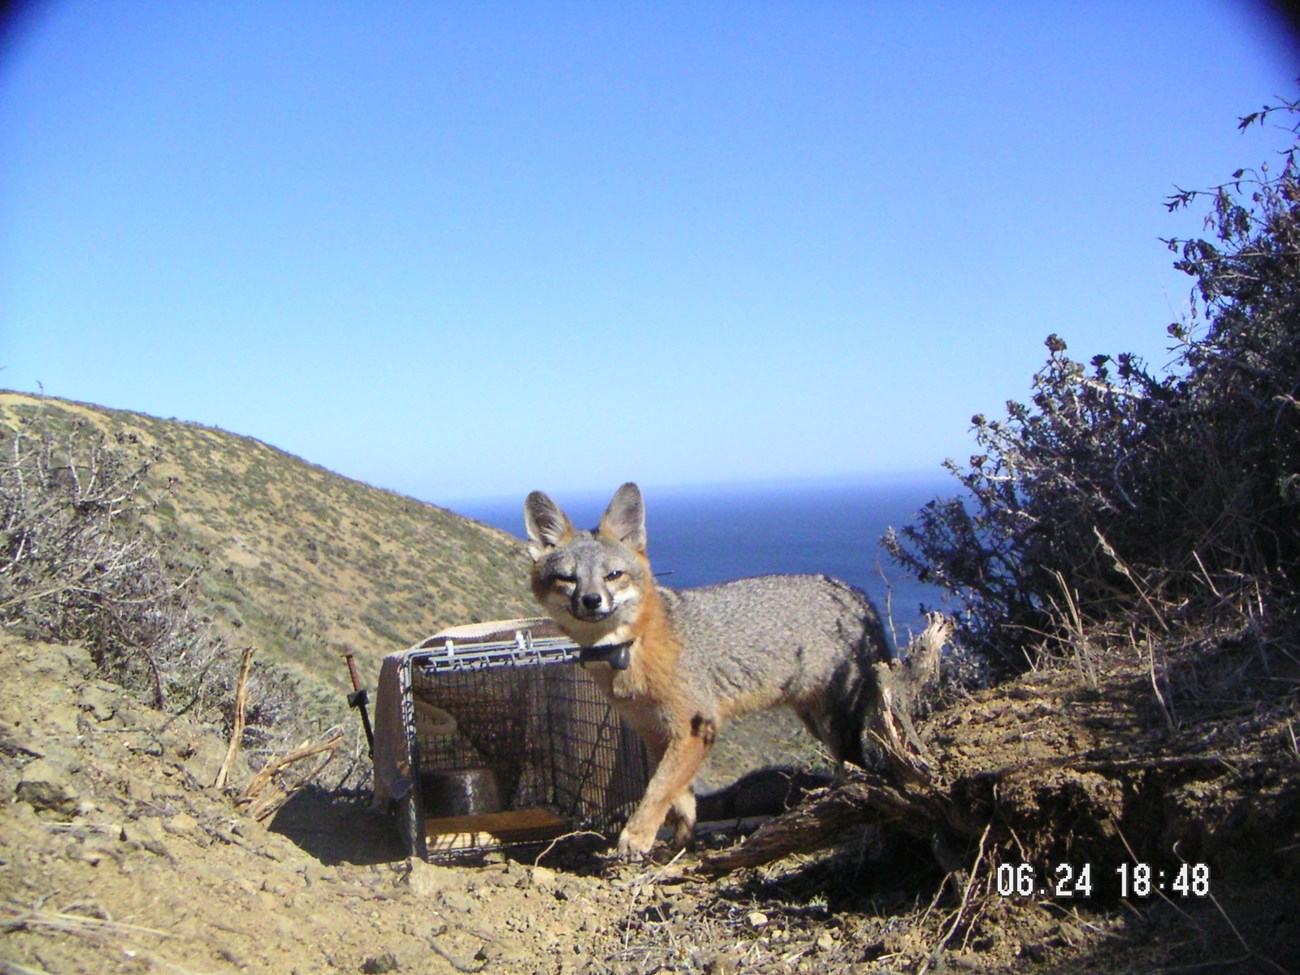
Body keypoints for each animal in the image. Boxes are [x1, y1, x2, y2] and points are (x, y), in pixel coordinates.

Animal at [522, 480, 889, 852]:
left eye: (613, 575)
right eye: (567, 579)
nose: (592, 600)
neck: (632, 650)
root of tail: (859, 596)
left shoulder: (694, 728)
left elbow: (657, 789)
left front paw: (636, 836)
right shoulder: (655, 734)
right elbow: (679, 798)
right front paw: (681, 843)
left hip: (834, 722)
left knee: (862, 767)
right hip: (815, 719)